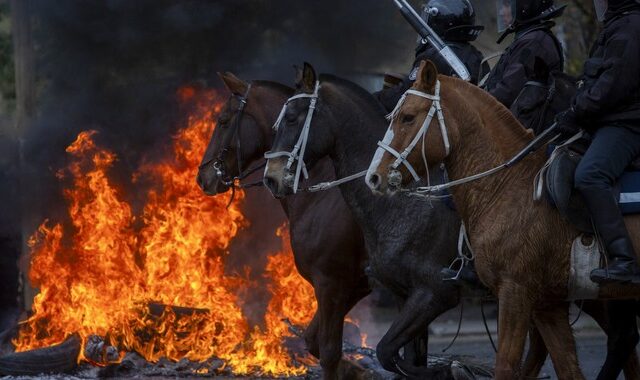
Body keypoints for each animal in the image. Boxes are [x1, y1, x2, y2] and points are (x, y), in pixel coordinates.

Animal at [198, 72, 372, 378]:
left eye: (223, 120)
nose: (203, 176)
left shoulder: (331, 282)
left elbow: (328, 351)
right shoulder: (355, 284)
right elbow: (313, 341)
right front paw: (358, 370)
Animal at [364, 60, 640, 378]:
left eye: (407, 117)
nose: (373, 177)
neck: (508, 186)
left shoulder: (512, 293)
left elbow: (506, 366)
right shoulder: (547, 304)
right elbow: (566, 366)